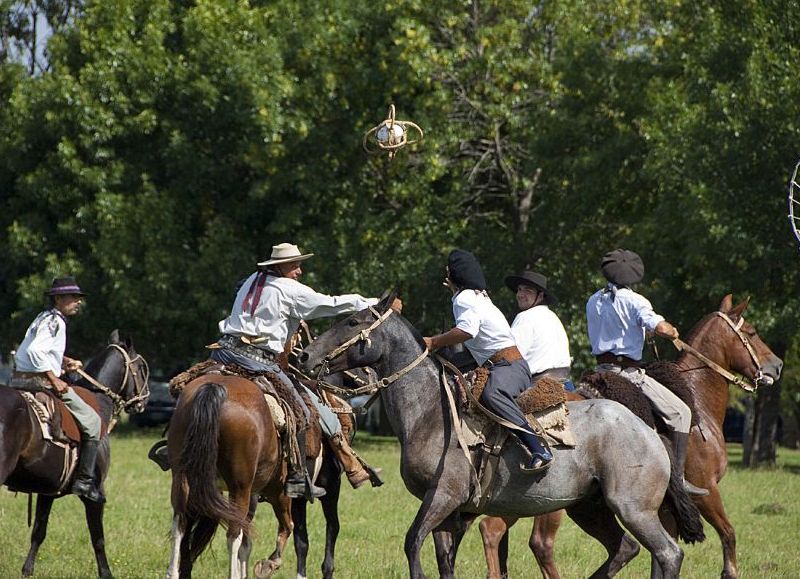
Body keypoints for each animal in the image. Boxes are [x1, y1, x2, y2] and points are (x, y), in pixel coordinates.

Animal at [0, 330, 150, 579]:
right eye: (141, 367)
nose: (144, 400)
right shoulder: (96, 495)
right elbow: (98, 538)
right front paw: (106, 573)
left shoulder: (47, 492)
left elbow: (39, 531)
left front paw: (27, 570)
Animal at [300, 294, 692, 579]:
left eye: (352, 322)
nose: (305, 355)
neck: (430, 413)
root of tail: (650, 432)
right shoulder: (450, 510)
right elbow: (444, 558)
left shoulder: (443, 496)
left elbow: (413, 542)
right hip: (589, 507)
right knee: (626, 549)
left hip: (633, 508)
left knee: (667, 553)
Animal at [478, 296, 784, 579]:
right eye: (752, 332)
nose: (777, 365)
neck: (697, 401)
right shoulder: (706, 490)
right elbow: (728, 532)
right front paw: (730, 571)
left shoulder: (660, 510)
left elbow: (661, 555)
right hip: (548, 502)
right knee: (527, 539)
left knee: (493, 529)